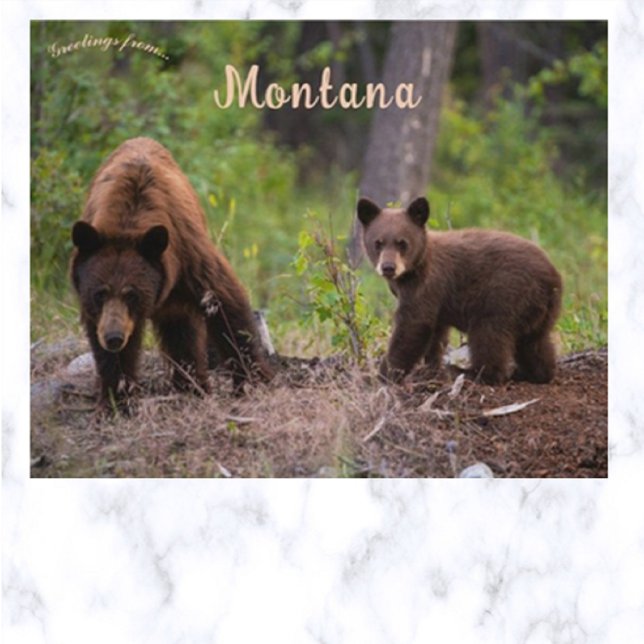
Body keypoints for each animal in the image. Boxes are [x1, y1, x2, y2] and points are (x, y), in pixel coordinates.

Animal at [70, 137, 272, 411]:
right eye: (99, 294)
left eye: (132, 294)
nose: (113, 338)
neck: (128, 222)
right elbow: (108, 353)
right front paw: (116, 399)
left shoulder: (189, 255)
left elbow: (225, 305)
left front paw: (253, 380)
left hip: (178, 298)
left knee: (183, 335)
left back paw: (192, 387)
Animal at [357, 196, 563, 385]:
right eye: (378, 243)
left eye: (402, 243)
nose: (388, 267)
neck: (415, 269)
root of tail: (552, 278)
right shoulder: (436, 301)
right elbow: (436, 333)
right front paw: (431, 367)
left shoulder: (427, 285)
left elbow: (413, 326)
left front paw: (385, 374)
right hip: (540, 311)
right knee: (534, 343)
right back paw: (535, 374)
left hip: (505, 297)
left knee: (489, 337)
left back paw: (476, 374)